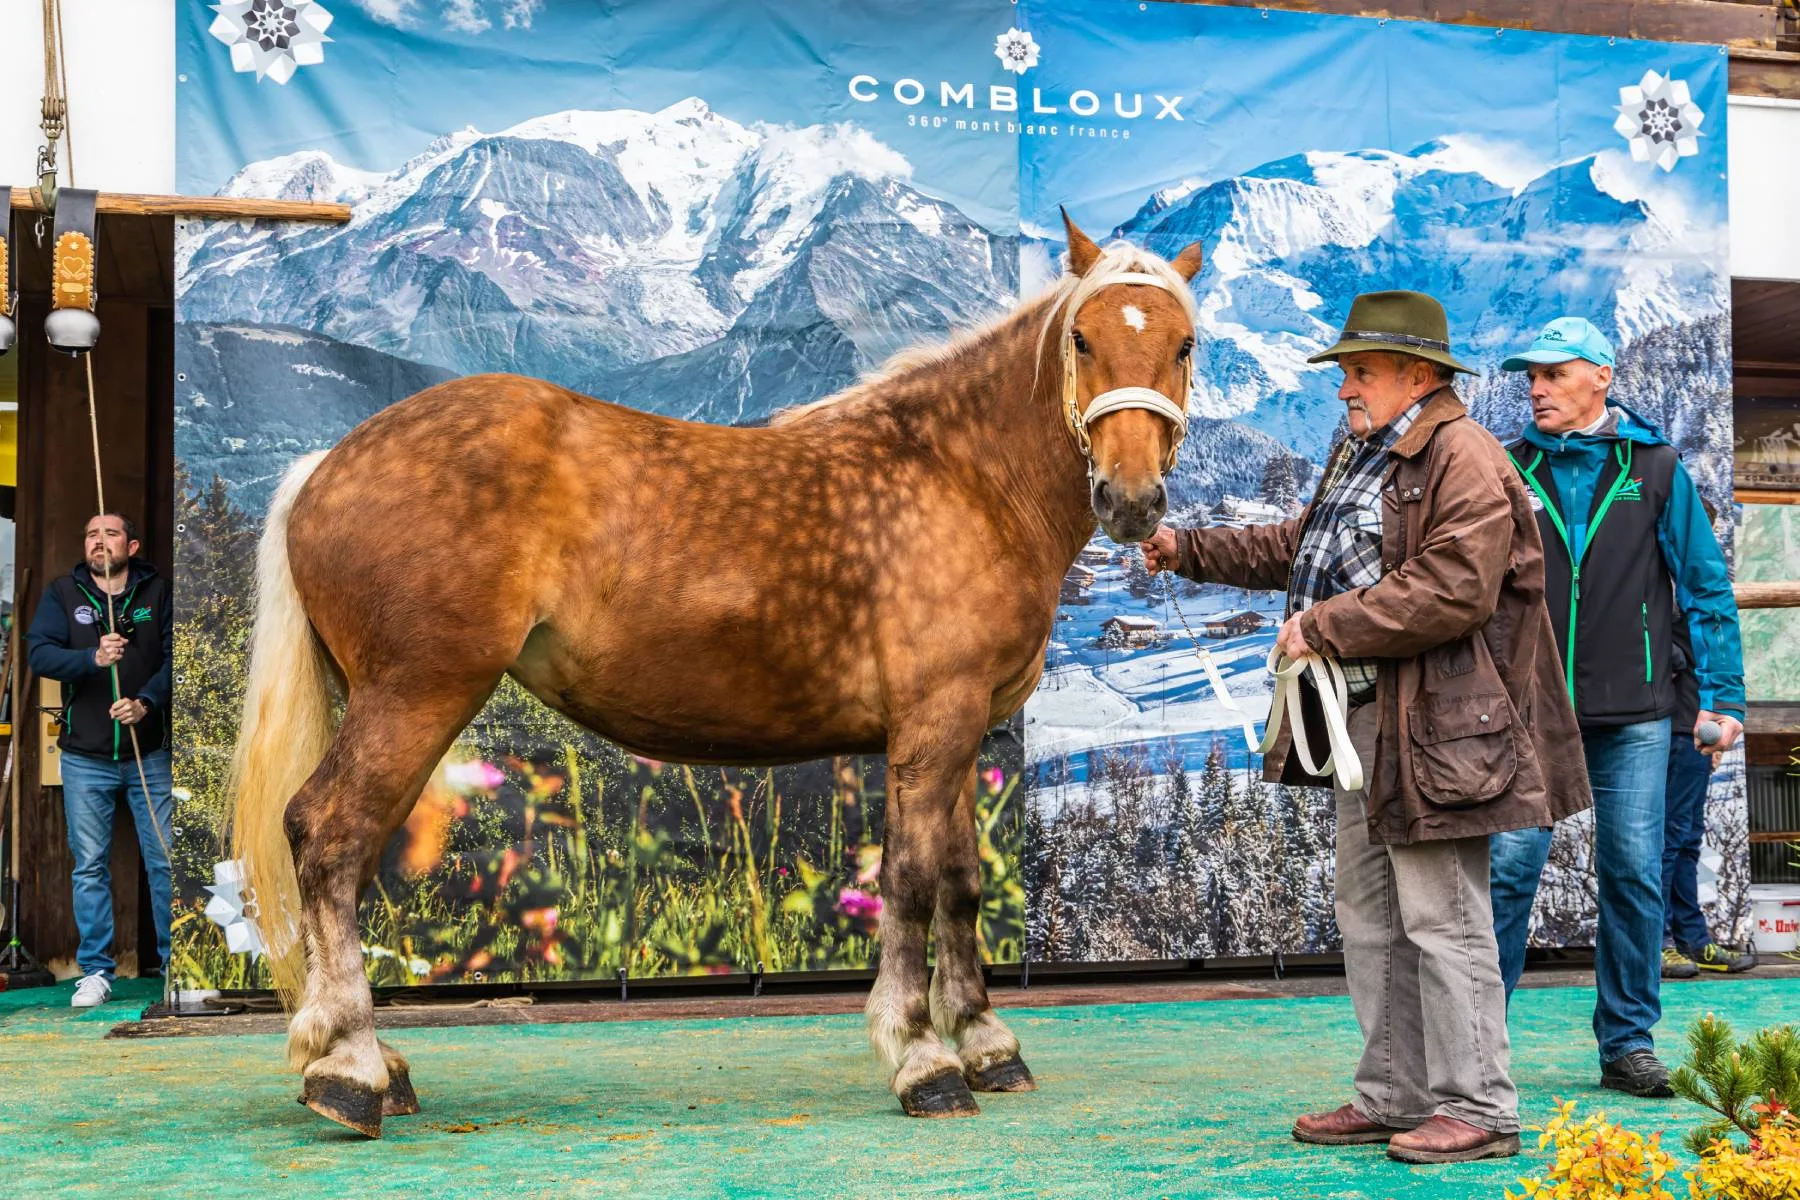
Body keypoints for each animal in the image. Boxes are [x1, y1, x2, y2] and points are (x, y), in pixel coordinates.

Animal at [232, 215, 1202, 1137]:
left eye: (1185, 344)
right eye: (1083, 337)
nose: (1131, 500)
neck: (963, 478)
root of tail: (325, 466)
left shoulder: (965, 734)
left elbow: (962, 884)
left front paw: (988, 1044)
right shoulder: (933, 724)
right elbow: (912, 883)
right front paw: (921, 1057)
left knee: (346, 854)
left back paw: (371, 1061)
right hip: (417, 697)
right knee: (329, 835)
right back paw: (352, 1070)